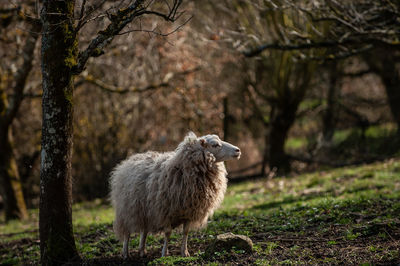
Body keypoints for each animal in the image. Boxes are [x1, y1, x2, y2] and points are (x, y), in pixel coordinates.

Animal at [109, 132, 241, 258]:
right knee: (127, 232)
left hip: (144, 210)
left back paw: (142, 251)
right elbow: (167, 233)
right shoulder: (165, 211)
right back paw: (125, 253)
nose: (238, 150)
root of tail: (131, 159)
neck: (184, 169)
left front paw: (184, 252)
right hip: (127, 209)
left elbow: (185, 232)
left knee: (144, 231)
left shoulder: (189, 211)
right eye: (214, 145)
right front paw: (164, 254)